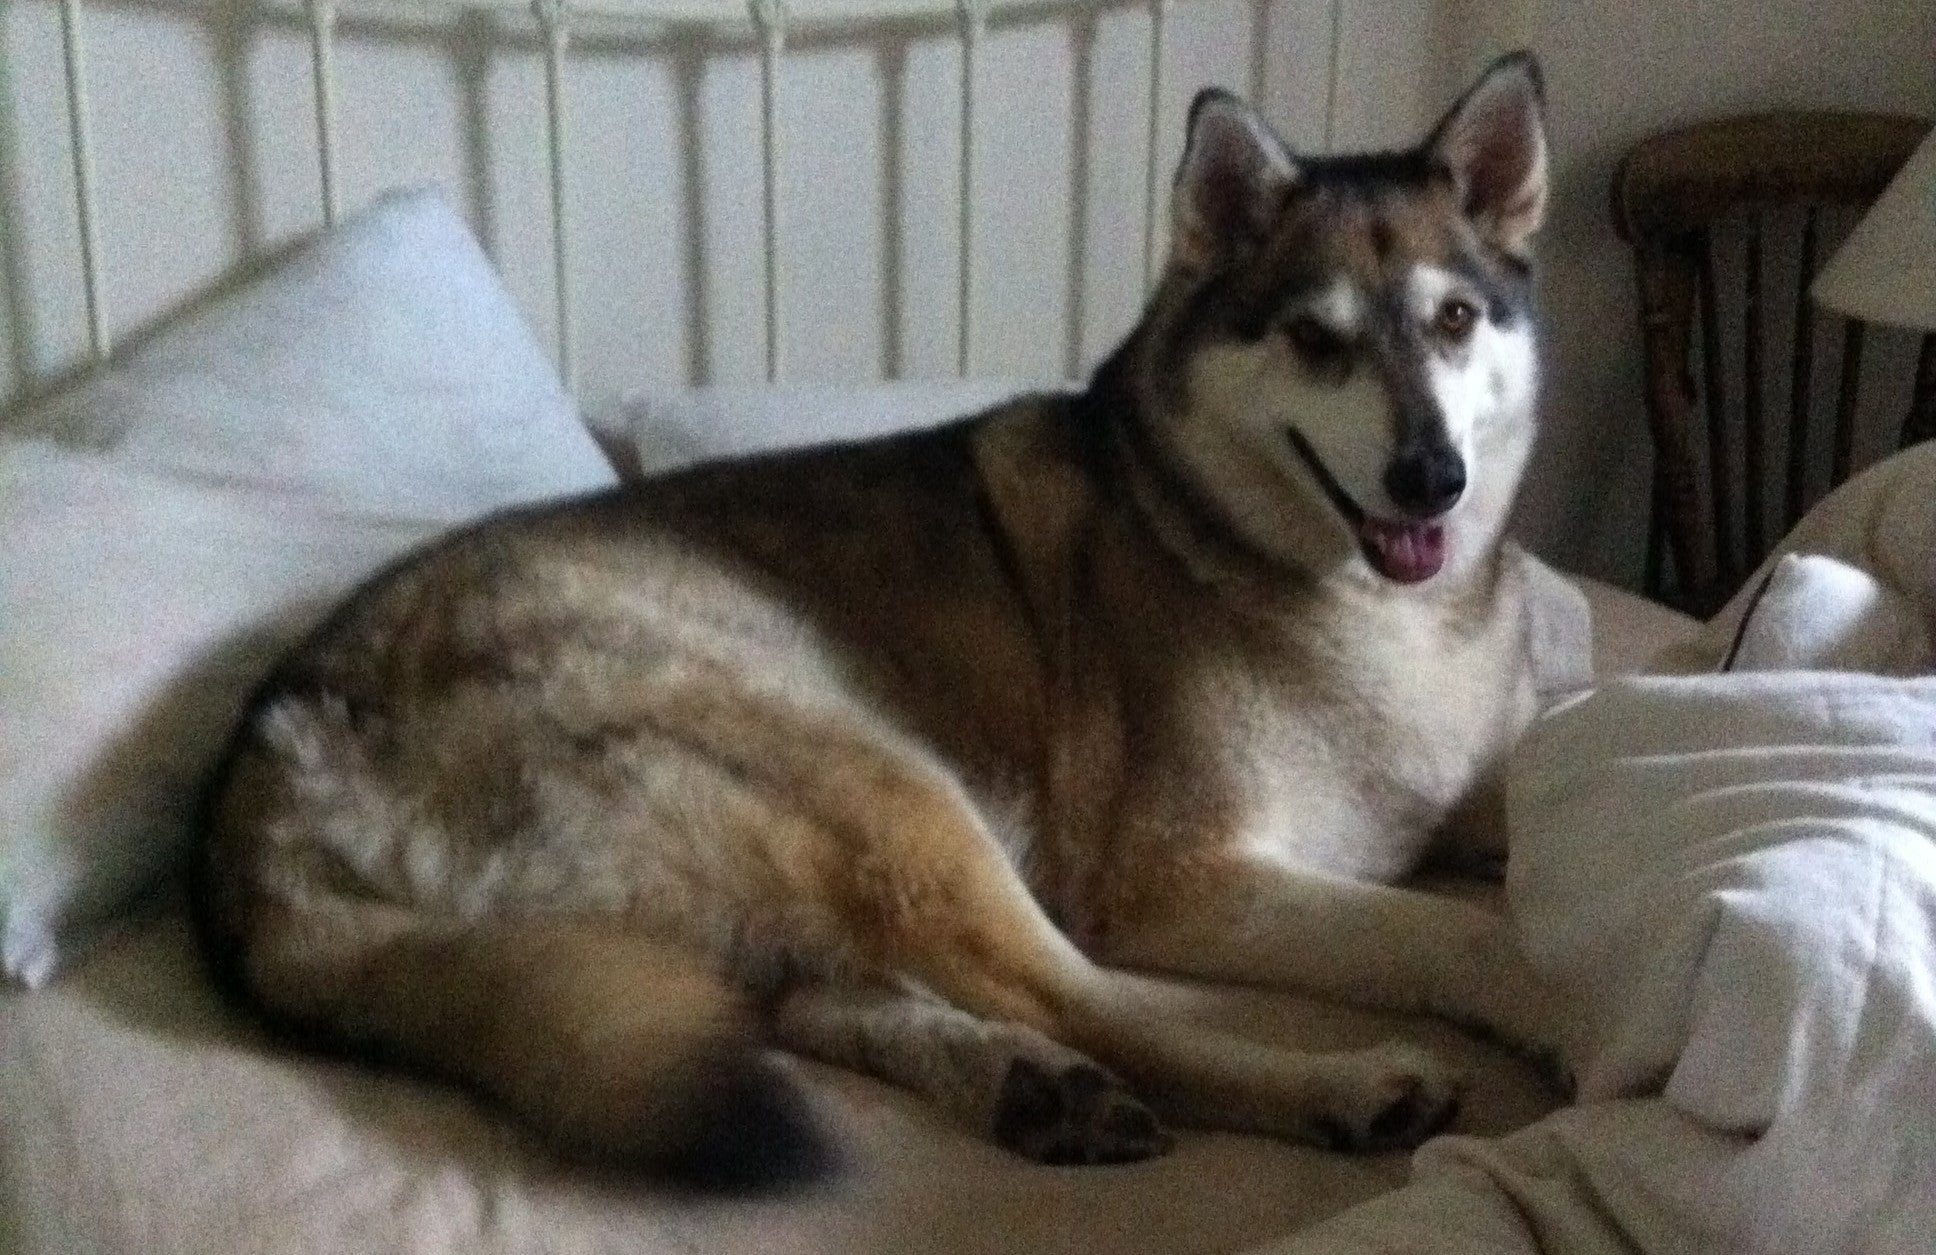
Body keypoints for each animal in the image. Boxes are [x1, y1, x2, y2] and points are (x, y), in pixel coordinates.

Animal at [196, 51, 1556, 1185]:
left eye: (1453, 319)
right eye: (1317, 338)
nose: (1431, 478)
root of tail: (280, 758)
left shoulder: (1465, 787)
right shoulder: (1182, 878)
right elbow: (1445, 927)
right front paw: (1542, 978)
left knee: (816, 1002)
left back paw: (1028, 1091)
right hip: (877, 784)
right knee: (1096, 1005)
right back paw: (1333, 1084)